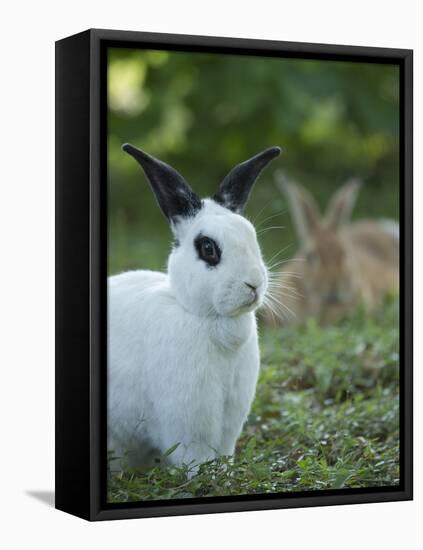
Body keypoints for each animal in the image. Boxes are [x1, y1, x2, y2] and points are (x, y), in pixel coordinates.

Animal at [109, 143, 282, 474]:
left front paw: (224, 471)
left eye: (252, 236)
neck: (208, 318)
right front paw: (206, 476)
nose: (253, 284)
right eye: (208, 248)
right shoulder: (188, 420)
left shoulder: (229, 420)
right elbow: (195, 456)